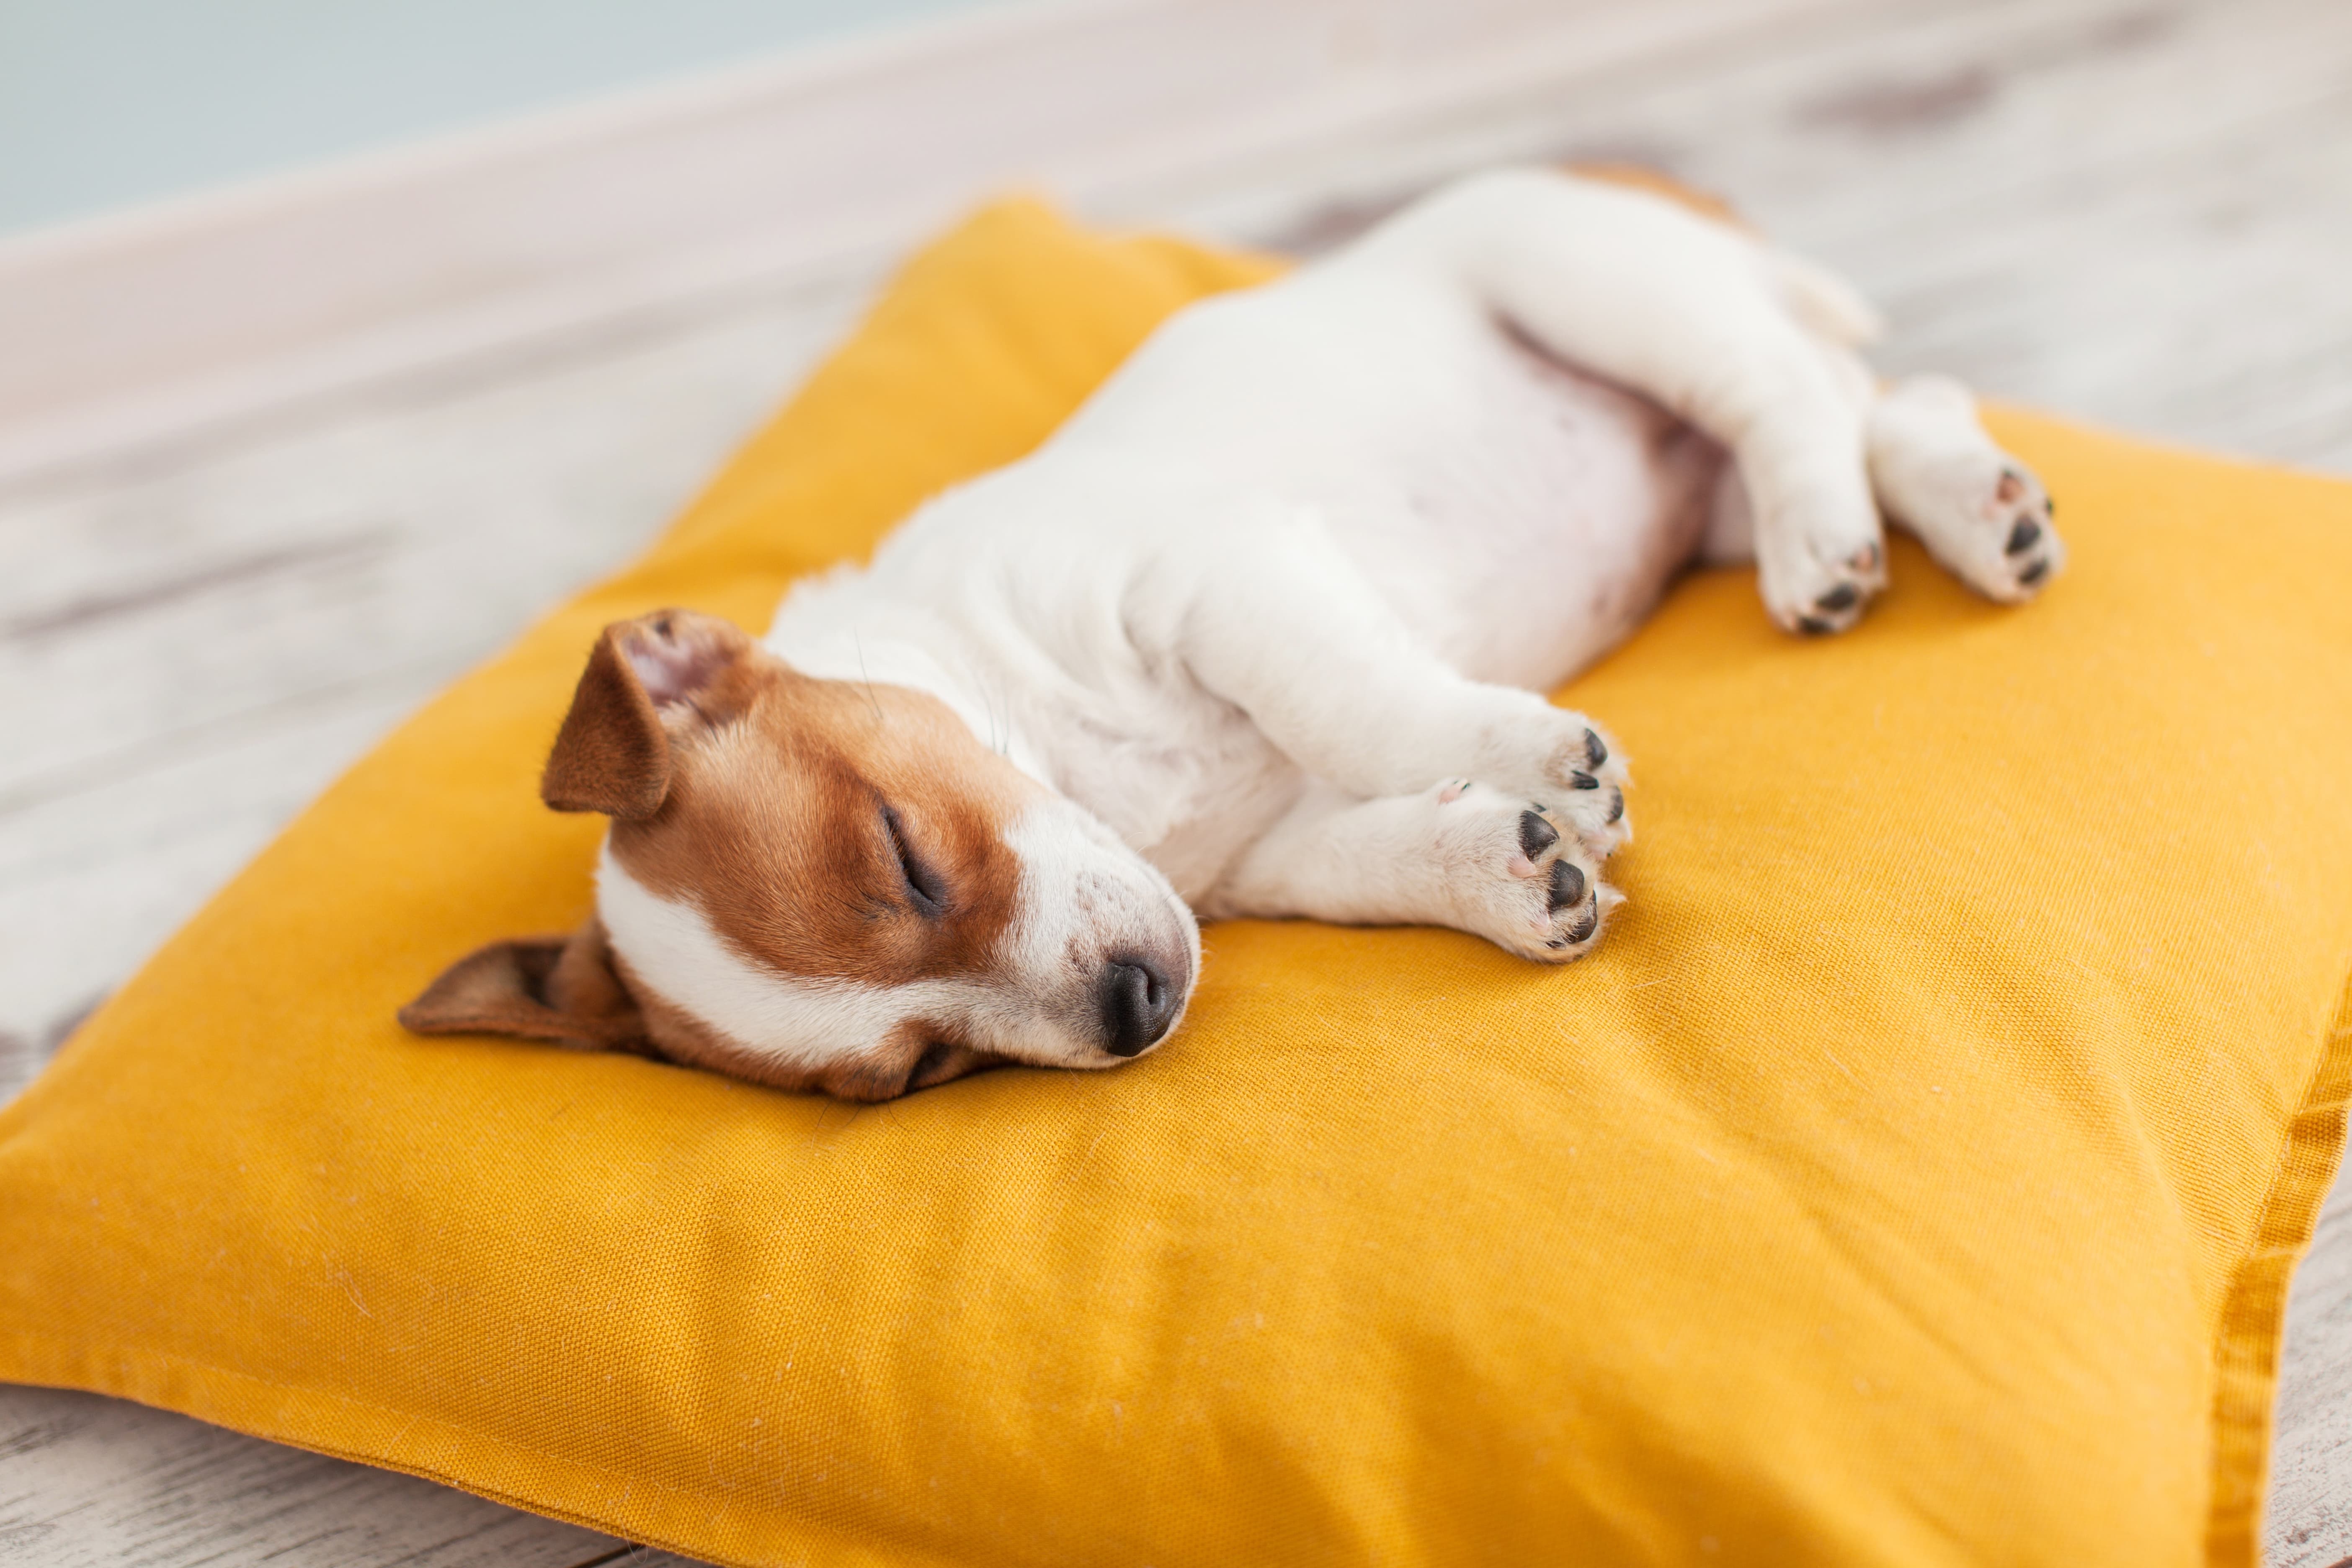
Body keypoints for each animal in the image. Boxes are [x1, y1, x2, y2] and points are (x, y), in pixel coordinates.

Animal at [404, 169, 2060, 1105]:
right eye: (914, 1074)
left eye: (906, 855)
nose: (1135, 1012)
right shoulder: (1271, 855)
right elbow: (1388, 850)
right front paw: (1511, 866)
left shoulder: (1217, 578)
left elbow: (1364, 707)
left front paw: (1532, 754)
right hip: (1694, 479)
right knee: (1876, 404)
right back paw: (1970, 511)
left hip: (1594, 289)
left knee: (1791, 394)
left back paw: (1832, 545)